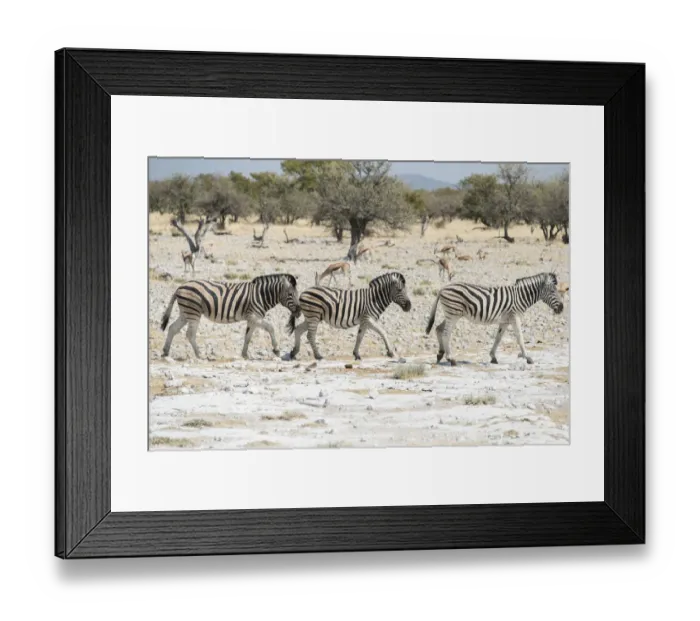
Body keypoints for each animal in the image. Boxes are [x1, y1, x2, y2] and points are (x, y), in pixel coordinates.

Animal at [160, 273, 301, 360]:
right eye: (290, 294)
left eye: (297, 294)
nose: (299, 312)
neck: (261, 295)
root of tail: (179, 287)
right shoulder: (254, 317)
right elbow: (271, 327)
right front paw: (276, 350)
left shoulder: (252, 319)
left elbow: (247, 337)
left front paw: (244, 354)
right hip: (193, 313)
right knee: (189, 334)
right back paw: (199, 355)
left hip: (185, 313)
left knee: (172, 328)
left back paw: (165, 352)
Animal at [425, 272, 564, 366]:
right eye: (553, 291)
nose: (562, 308)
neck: (520, 297)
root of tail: (443, 288)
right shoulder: (514, 317)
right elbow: (520, 337)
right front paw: (527, 357)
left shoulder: (505, 320)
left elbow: (498, 338)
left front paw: (493, 357)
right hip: (453, 314)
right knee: (446, 334)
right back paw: (451, 359)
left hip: (451, 314)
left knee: (438, 329)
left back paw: (440, 354)